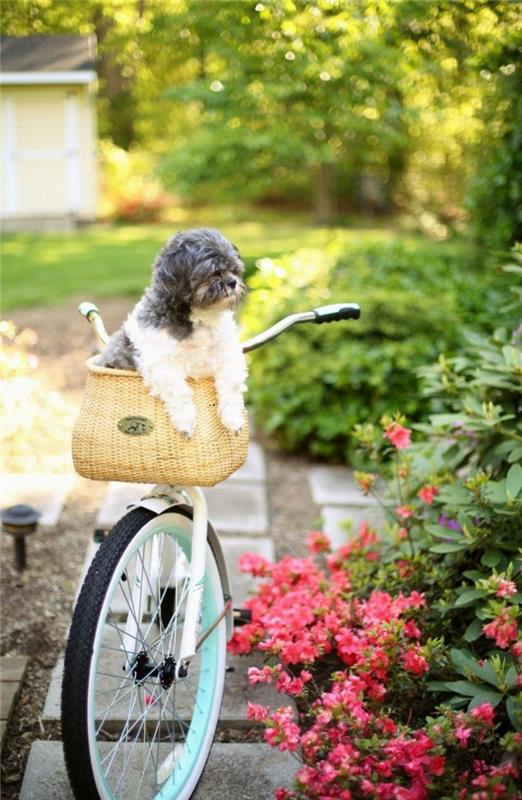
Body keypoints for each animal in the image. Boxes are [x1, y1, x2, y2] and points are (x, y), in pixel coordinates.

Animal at [97, 225, 248, 438]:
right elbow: (179, 391)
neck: (200, 318)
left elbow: (232, 385)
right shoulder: (160, 364)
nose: (233, 282)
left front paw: (233, 419)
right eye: (214, 272)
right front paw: (186, 422)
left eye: (234, 270)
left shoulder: (229, 355)